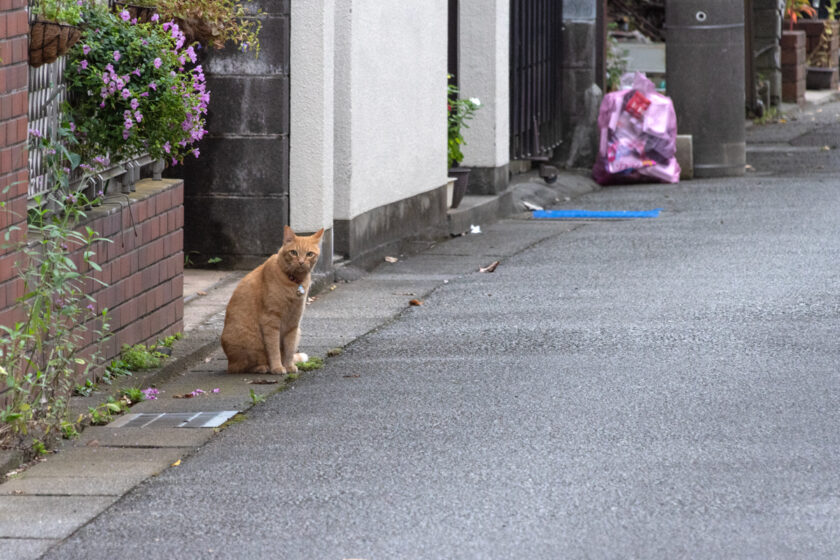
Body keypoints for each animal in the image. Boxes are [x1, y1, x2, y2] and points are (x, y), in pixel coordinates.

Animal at [220, 225, 324, 374]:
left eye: (309, 254)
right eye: (294, 252)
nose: (301, 262)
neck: (293, 282)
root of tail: (229, 362)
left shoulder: (293, 322)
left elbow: (289, 349)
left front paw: (288, 366)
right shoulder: (271, 320)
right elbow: (274, 349)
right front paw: (277, 367)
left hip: (298, 331)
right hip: (249, 341)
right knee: (242, 366)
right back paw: (263, 367)